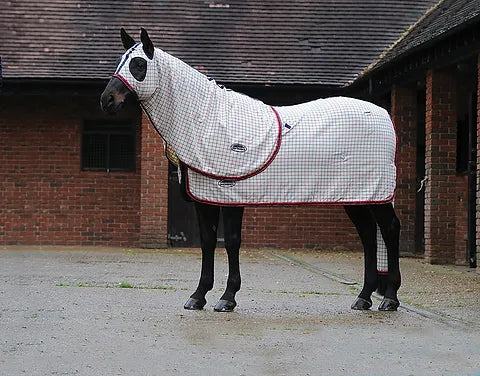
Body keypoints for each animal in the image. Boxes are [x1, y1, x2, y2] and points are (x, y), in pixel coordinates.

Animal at [101, 27, 402, 312]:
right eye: (118, 62)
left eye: (139, 64)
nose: (107, 100)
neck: (208, 121)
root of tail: (384, 115)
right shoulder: (205, 197)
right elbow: (208, 241)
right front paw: (198, 296)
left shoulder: (231, 194)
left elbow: (232, 241)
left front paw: (227, 298)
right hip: (356, 196)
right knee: (368, 236)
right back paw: (363, 298)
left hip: (377, 195)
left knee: (389, 230)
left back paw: (389, 298)